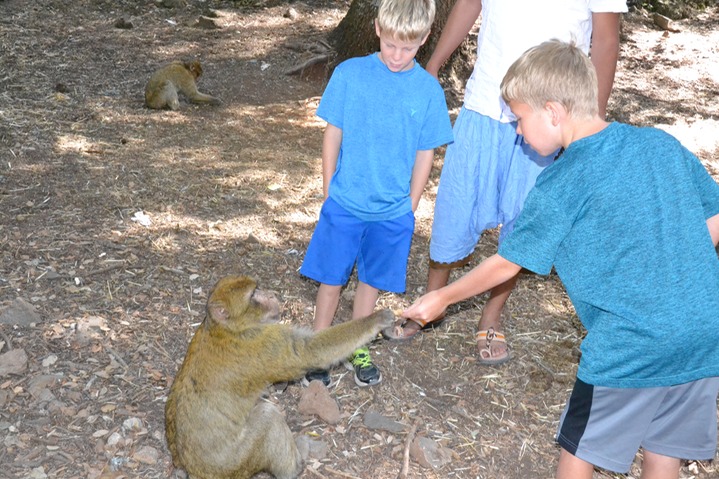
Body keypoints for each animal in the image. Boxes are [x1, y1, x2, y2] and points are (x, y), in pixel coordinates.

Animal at [165, 276, 394, 478]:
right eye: (253, 295)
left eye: (258, 288)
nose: (271, 295)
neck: (224, 327)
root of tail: (191, 469)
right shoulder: (263, 342)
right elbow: (309, 351)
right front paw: (376, 320)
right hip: (237, 462)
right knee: (268, 416)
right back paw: (295, 467)